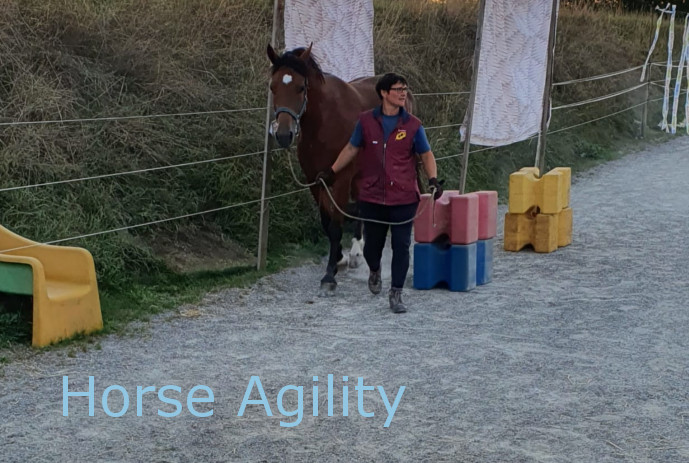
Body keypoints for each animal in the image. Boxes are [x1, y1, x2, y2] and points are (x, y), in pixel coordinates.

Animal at [266, 44, 381, 296]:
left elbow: (336, 225)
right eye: (273, 87)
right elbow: (326, 222)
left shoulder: (341, 178)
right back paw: (356, 252)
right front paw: (337, 257)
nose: (283, 135)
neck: (324, 122)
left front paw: (329, 276)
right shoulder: (314, 179)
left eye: (301, 87)